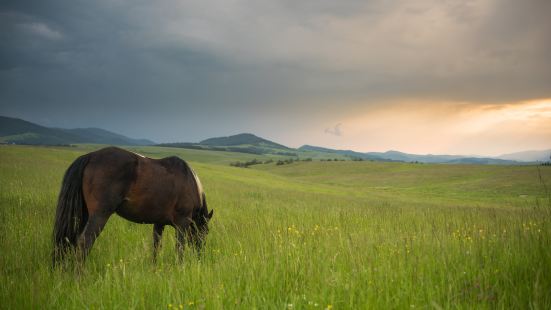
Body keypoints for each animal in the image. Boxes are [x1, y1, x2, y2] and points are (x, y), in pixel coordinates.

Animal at [51, 147, 215, 266]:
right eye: (205, 232)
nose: (200, 257)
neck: (191, 182)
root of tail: (90, 156)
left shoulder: (159, 223)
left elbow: (156, 247)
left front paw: (154, 268)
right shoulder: (182, 223)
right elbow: (179, 249)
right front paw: (180, 268)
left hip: (83, 215)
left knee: (71, 240)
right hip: (99, 215)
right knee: (84, 243)